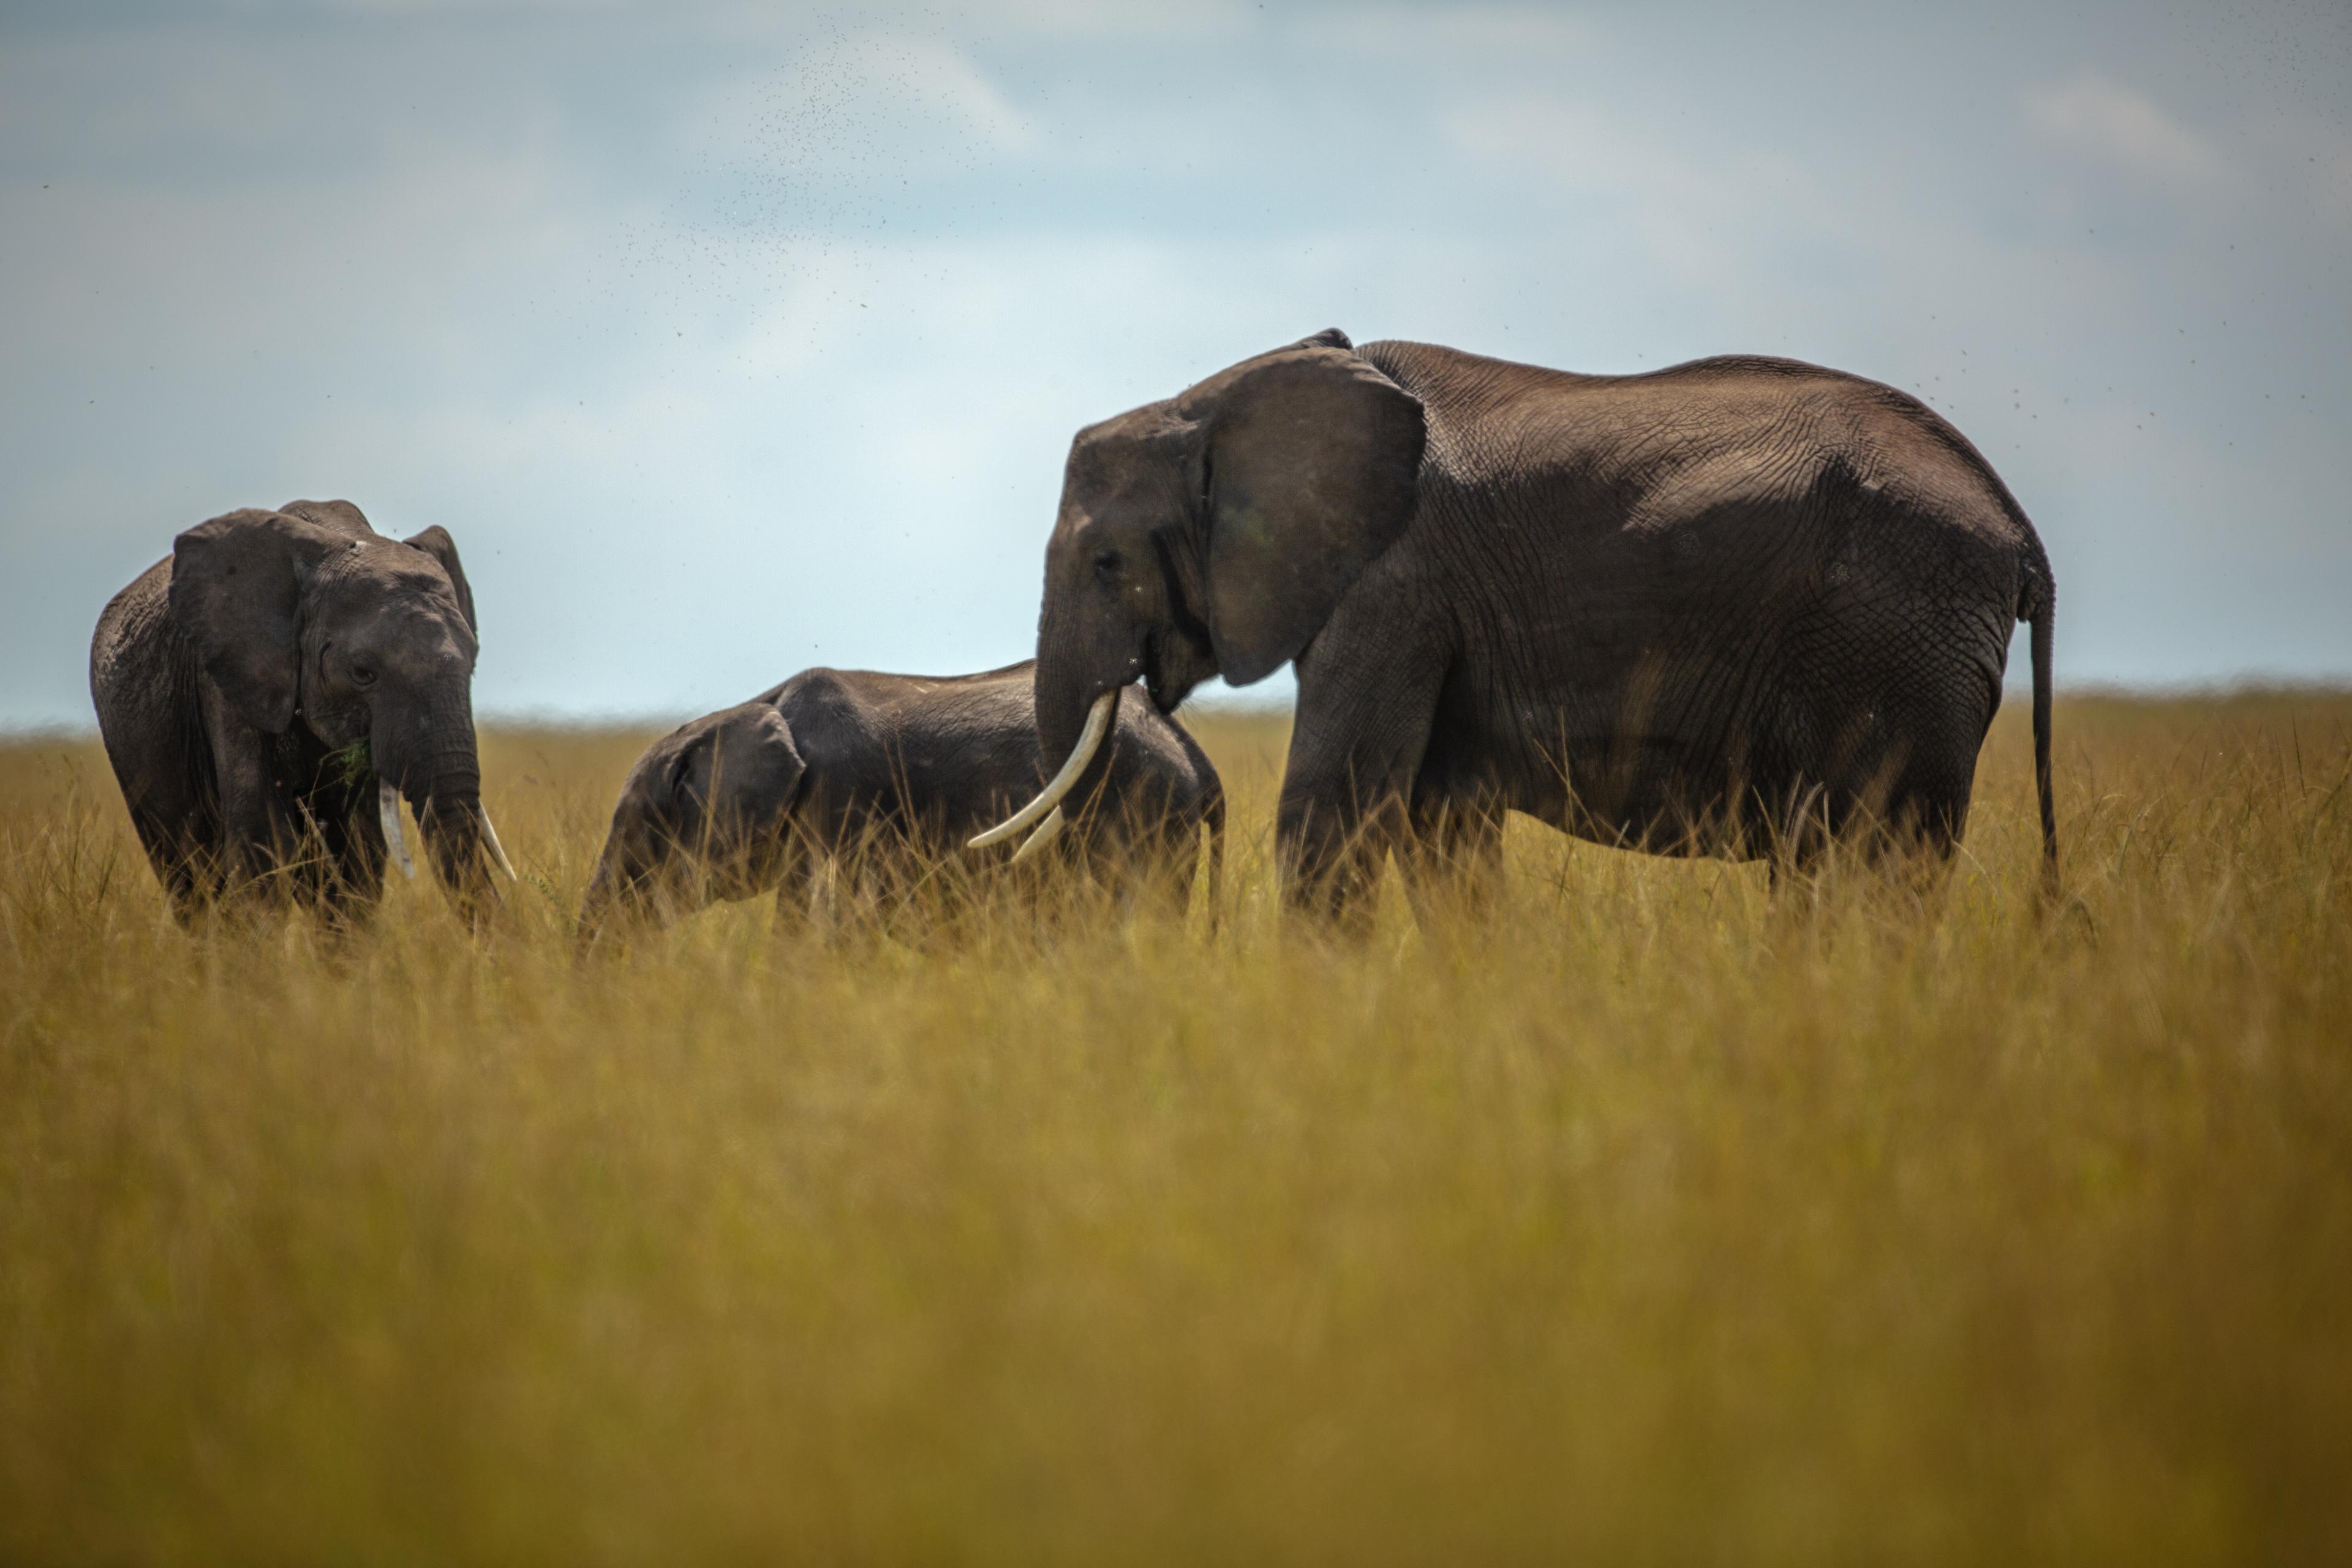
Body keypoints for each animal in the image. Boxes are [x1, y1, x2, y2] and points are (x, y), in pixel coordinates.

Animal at [89, 499, 512, 920]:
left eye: (473, 662)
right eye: (363, 672)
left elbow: (356, 850)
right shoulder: (231, 680)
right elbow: (261, 839)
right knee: (186, 873)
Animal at [979, 329, 2057, 923]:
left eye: (1107, 563)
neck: (1216, 405)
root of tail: (2017, 528)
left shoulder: (1393, 584)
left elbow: (1332, 808)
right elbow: (1442, 829)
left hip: (1897, 637)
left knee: (1878, 866)